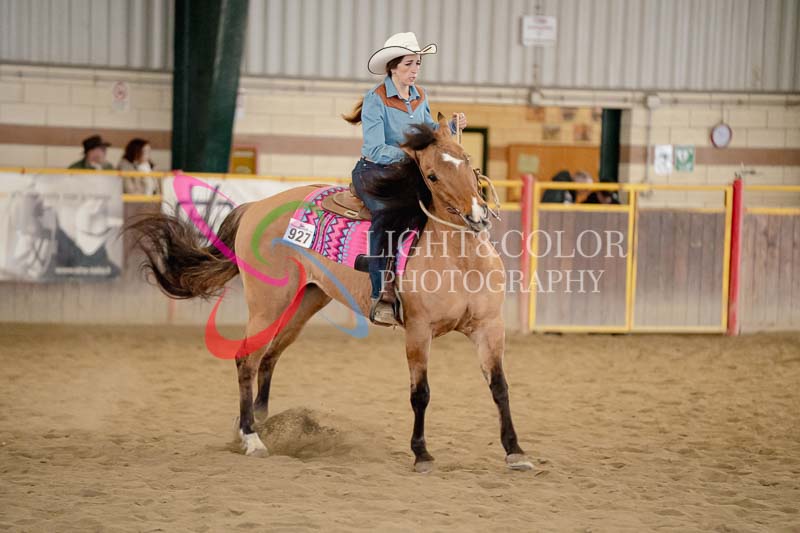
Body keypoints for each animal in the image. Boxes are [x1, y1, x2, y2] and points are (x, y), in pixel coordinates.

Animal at [126, 115, 533, 473]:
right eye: (431, 175)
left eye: (467, 162)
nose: (478, 216)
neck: (460, 259)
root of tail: (256, 206)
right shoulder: (419, 331)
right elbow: (421, 393)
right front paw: (422, 455)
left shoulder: (489, 327)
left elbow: (500, 387)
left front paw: (515, 451)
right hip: (266, 305)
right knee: (247, 360)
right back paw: (251, 438)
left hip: (307, 301)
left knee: (269, 357)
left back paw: (259, 422)